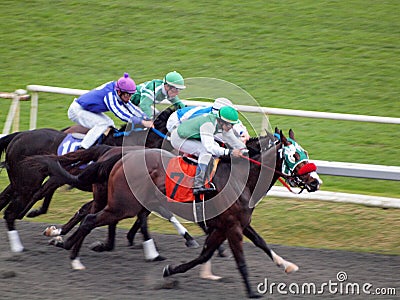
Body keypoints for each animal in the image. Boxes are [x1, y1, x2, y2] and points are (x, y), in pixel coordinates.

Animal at [0, 106, 175, 252]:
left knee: (10, 196)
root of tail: (20, 135)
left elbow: (85, 210)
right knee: (24, 200)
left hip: (20, 180)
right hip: (29, 181)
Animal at [34, 128, 322, 298]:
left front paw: (286, 264)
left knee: (88, 214)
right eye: (294, 154)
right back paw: (71, 252)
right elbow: (240, 261)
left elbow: (255, 244)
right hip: (123, 206)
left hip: (118, 202)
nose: (316, 181)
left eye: (305, 152)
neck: (241, 178)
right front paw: (252, 292)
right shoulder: (231, 226)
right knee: (91, 218)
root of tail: (120, 156)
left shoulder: (231, 224)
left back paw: (65, 242)